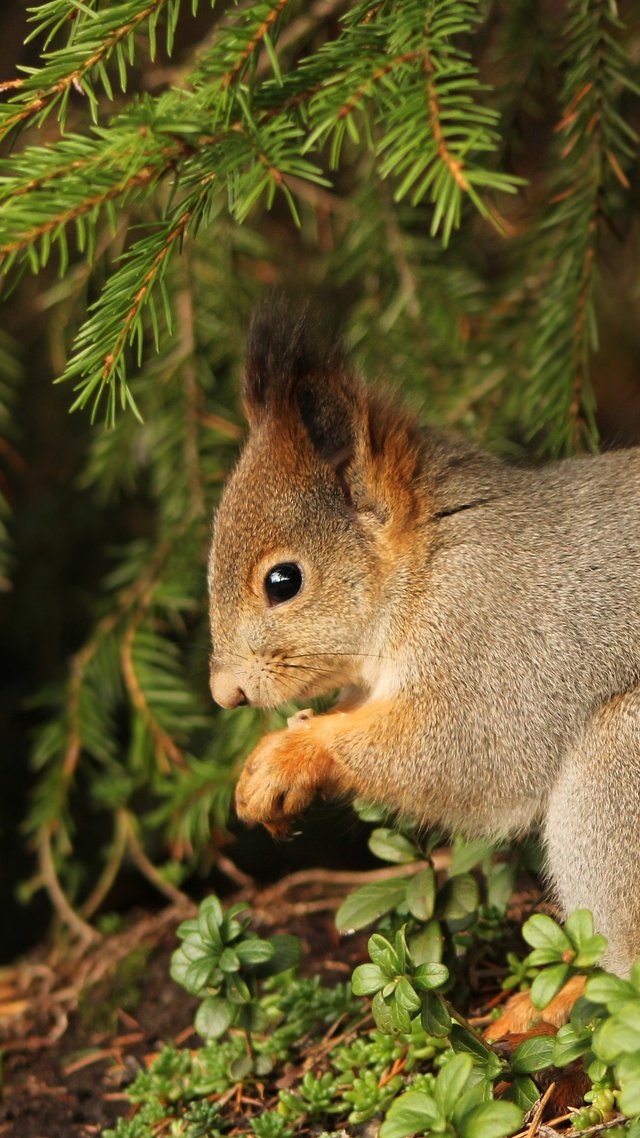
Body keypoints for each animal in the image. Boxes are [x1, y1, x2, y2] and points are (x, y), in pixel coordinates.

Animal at [208, 302, 637, 978]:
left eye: (284, 581)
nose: (225, 694)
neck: (431, 563)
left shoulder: (499, 642)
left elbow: (461, 751)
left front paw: (294, 757)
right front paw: (263, 771)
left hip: (618, 772)